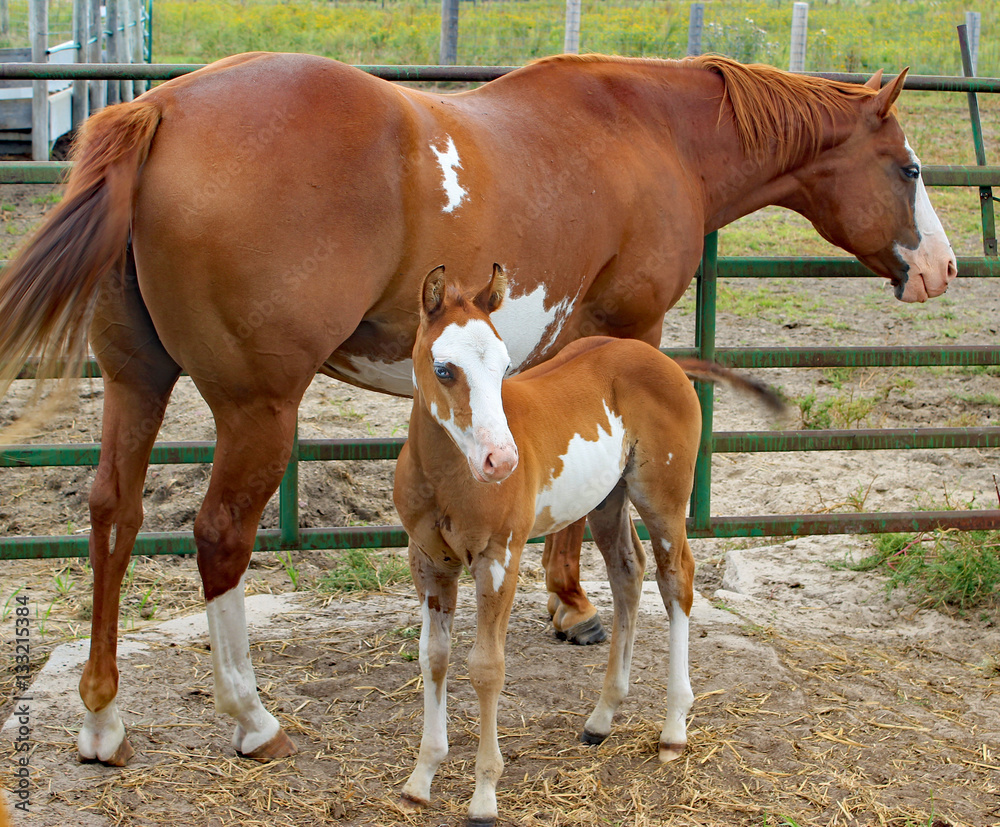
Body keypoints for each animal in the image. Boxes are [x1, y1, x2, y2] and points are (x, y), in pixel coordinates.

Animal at [0, 52, 955, 767]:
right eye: (908, 168)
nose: (941, 268)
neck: (650, 130)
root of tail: (158, 109)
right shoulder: (626, 326)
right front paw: (572, 605)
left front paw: (567, 603)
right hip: (257, 408)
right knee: (220, 534)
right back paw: (252, 719)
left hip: (136, 381)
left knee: (114, 515)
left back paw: (102, 721)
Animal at [394, 263, 782, 825]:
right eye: (445, 370)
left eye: (505, 367)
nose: (501, 460)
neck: (449, 476)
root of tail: (663, 359)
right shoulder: (428, 562)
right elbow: (434, 658)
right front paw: (421, 778)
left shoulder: (498, 559)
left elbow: (487, 668)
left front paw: (484, 795)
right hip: (607, 501)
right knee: (628, 574)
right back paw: (602, 717)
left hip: (662, 498)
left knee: (676, 580)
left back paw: (673, 730)